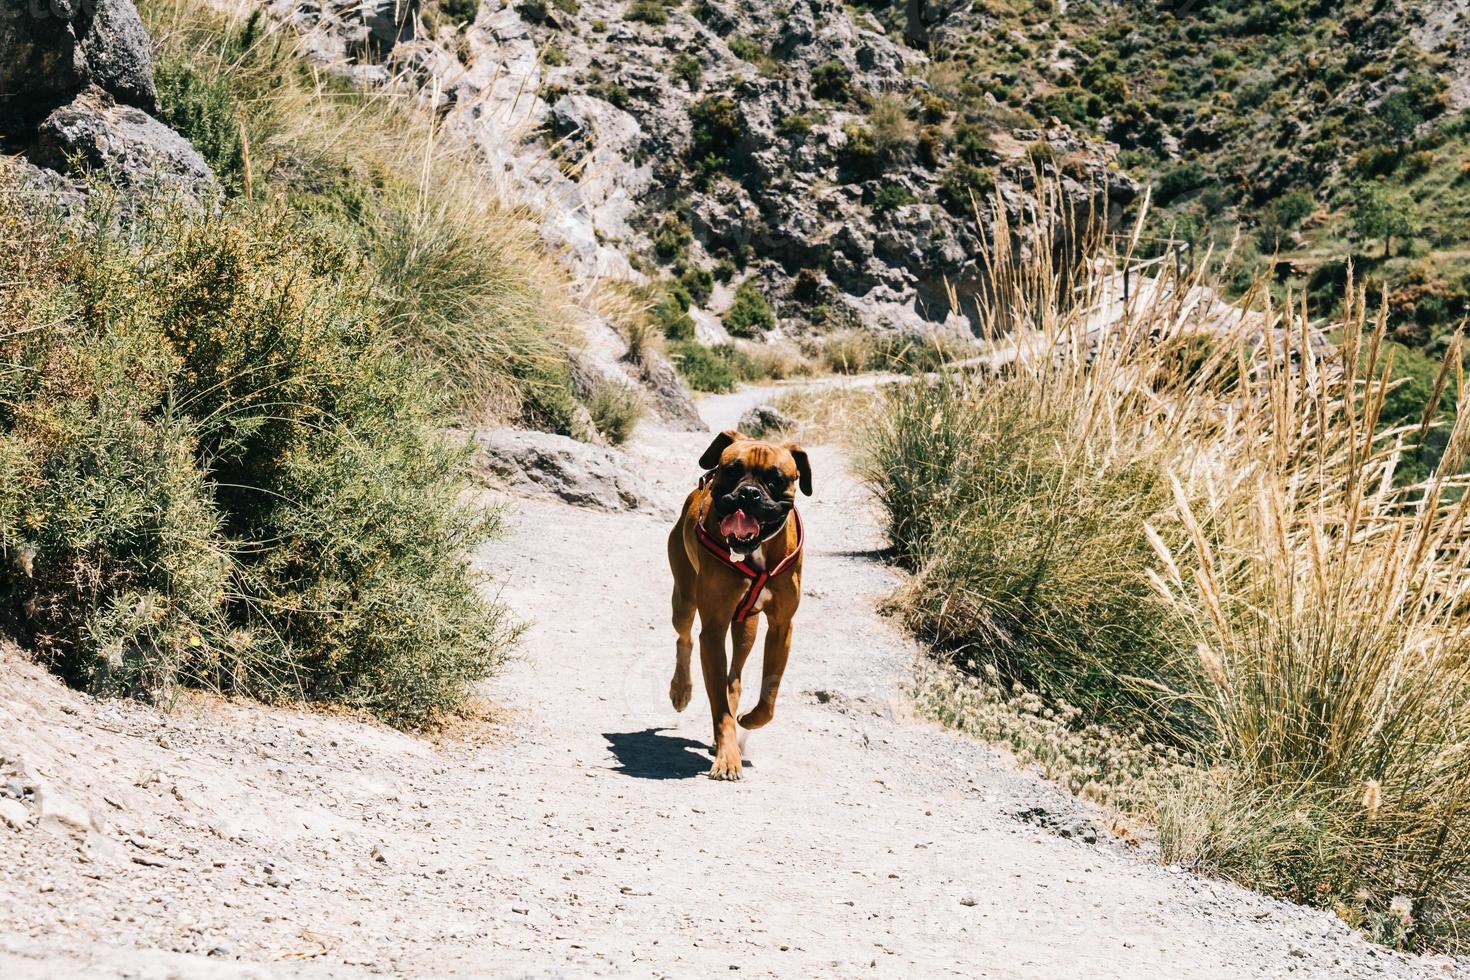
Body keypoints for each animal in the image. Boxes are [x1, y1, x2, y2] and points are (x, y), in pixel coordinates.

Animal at [670, 429, 811, 781]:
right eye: (732, 470)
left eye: (776, 479)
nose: (748, 493)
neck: (755, 551)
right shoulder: (713, 630)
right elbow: (718, 705)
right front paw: (728, 757)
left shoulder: (781, 628)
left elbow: (768, 697)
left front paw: (748, 720)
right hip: (683, 600)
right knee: (684, 638)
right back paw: (681, 690)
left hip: (746, 628)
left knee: (734, 676)